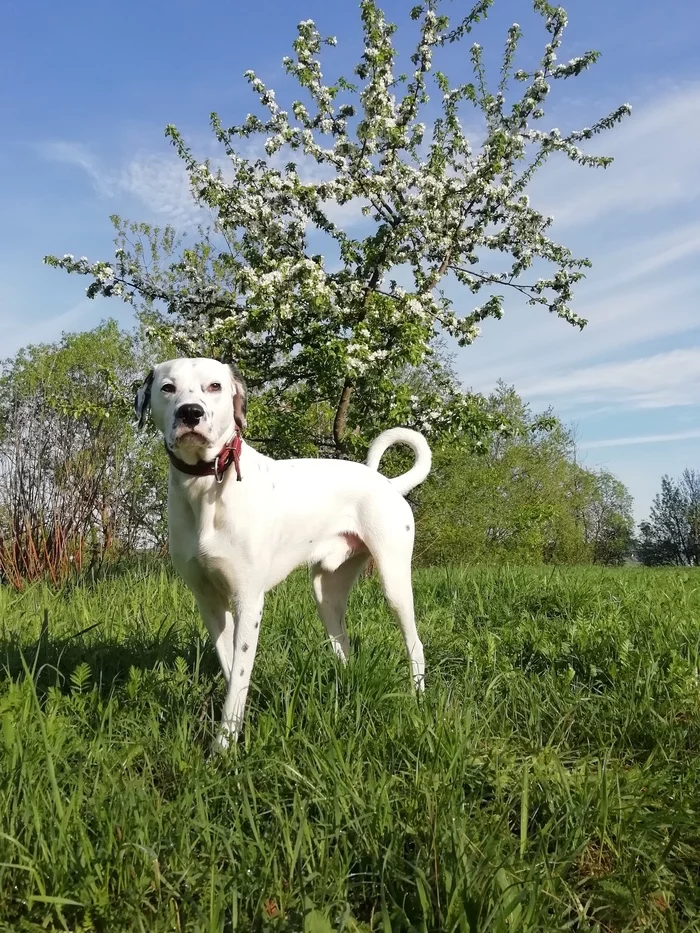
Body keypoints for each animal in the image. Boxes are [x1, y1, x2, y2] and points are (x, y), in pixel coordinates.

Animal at [135, 356, 432, 748]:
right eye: (168, 388)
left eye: (214, 386)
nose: (190, 413)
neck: (207, 485)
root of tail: (387, 483)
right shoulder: (209, 602)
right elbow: (233, 671)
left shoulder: (249, 601)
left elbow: (239, 676)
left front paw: (224, 745)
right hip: (326, 593)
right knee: (343, 645)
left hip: (394, 583)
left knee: (415, 643)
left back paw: (418, 697)